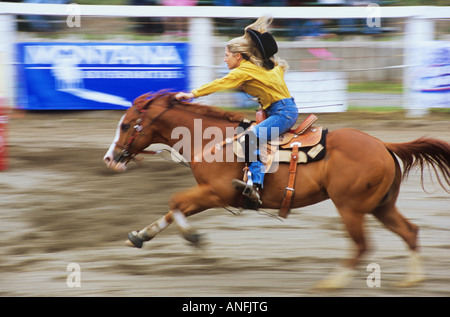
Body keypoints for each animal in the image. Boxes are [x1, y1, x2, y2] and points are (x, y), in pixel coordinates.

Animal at [103, 90, 450, 288]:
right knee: (410, 231)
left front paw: (194, 238)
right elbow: (173, 209)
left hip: (351, 207)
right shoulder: (208, 194)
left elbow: (175, 200)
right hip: (382, 205)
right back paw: (412, 279)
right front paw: (140, 235)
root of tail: (383, 144)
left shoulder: (217, 193)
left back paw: (331, 282)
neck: (210, 139)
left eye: (126, 125)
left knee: (363, 245)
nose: (110, 158)